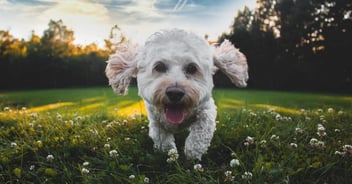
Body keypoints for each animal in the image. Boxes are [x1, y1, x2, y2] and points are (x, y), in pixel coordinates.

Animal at [104, 28, 248, 160]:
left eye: (192, 68)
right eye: (159, 66)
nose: (175, 93)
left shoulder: (207, 109)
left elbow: (201, 132)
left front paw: (192, 152)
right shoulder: (155, 120)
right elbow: (162, 139)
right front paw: (170, 154)